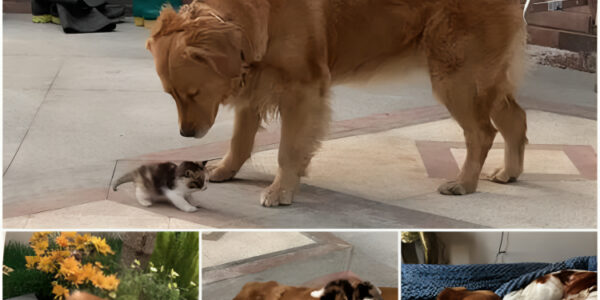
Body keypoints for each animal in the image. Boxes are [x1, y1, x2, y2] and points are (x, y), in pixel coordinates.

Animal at [148, 0, 528, 206]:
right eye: (171, 95)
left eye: (193, 93)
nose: (186, 134)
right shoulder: (255, 82)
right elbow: (240, 139)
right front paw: (226, 170)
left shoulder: (302, 90)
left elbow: (288, 149)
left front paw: (281, 189)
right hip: (481, 82)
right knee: (515, 119)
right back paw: (509, 172)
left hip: (457, 78)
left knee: (482, 133)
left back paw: (464, 183)